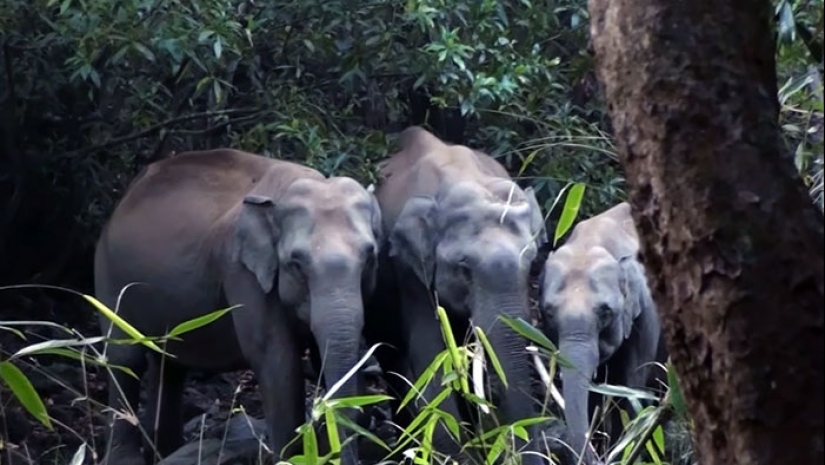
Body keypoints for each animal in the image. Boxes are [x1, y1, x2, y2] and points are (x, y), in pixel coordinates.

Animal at [95, 150, 382, 464]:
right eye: (295, 263)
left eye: (370, 257)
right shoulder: (242, 274)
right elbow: (277, 361)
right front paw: (291, 458)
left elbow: (324, 355)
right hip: (108, 274)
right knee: (125, 357)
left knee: (167, 365)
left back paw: (166, 452)